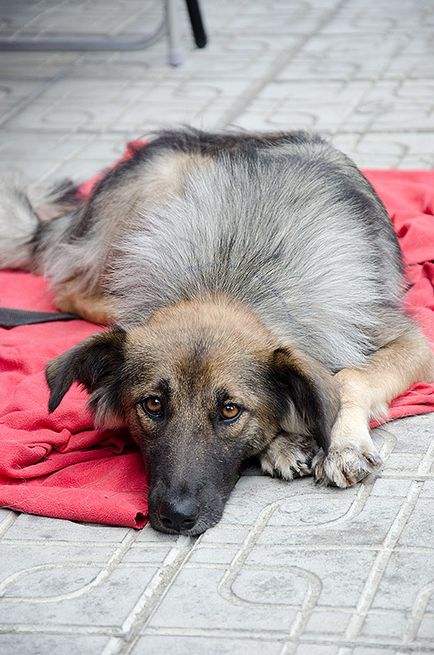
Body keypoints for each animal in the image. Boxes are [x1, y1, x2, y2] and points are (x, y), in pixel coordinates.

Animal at [1, 127, 432, 532]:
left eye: (230, 410)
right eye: (152, 405)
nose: (176, 517)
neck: (231, 276)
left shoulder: (409, 339)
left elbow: (349, 378)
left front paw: (341, 445)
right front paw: (283, 442)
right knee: (69, 288)